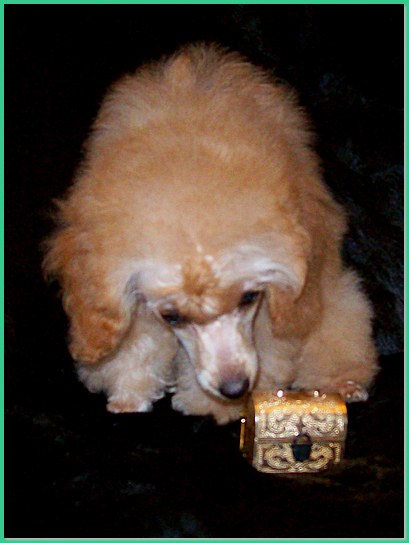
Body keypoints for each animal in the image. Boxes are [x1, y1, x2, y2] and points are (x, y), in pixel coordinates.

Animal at [43, 44, 378, 424]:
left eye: (249, 298)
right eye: (172, 316)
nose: (234, 389)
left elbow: (271, 344)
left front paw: (212, 407)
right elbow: (137, 342)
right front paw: (130, 394)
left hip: (335, 298)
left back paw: (344, 384)